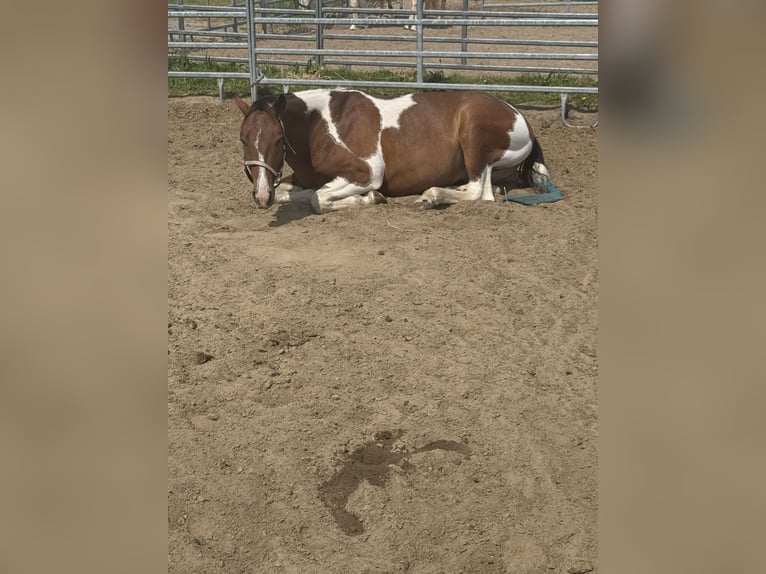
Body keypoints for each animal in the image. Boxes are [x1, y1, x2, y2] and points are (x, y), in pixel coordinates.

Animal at [234, 88, 555, 214]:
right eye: (243, 139)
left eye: (278, 139)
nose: (261, 196)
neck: (319, 126)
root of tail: (523, 120)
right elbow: (294, 194)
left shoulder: (366, 173)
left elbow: (317, 199)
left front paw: (370, 198)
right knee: (488, 188)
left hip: (473, 135)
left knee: (479, 193)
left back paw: (430, 196)